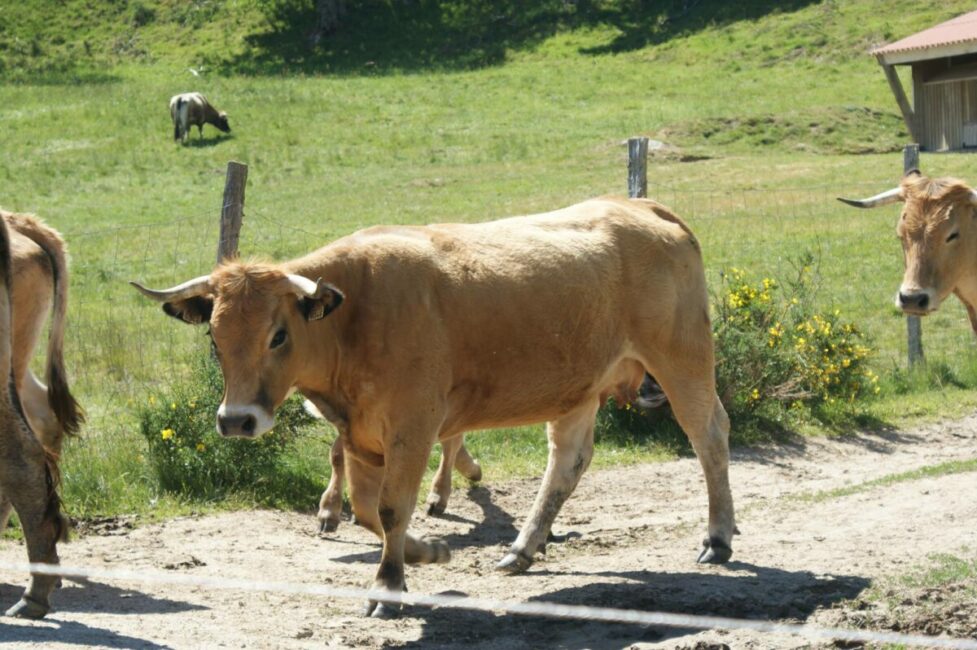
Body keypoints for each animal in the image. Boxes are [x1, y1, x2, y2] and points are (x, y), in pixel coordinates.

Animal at [133, 195, 736, 616]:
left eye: (278, 335)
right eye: (214, 338)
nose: (236, 420)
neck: (356, 314)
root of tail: (639, 206)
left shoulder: (413, 425)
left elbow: (392, 508)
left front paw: (388, 586)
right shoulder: (360, 434)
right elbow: (366, 510)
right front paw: (430, 553)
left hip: (681, 357)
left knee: (709, 434)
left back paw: (717, 539)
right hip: (580, 386)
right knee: (568, 461)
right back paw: (522, 549)